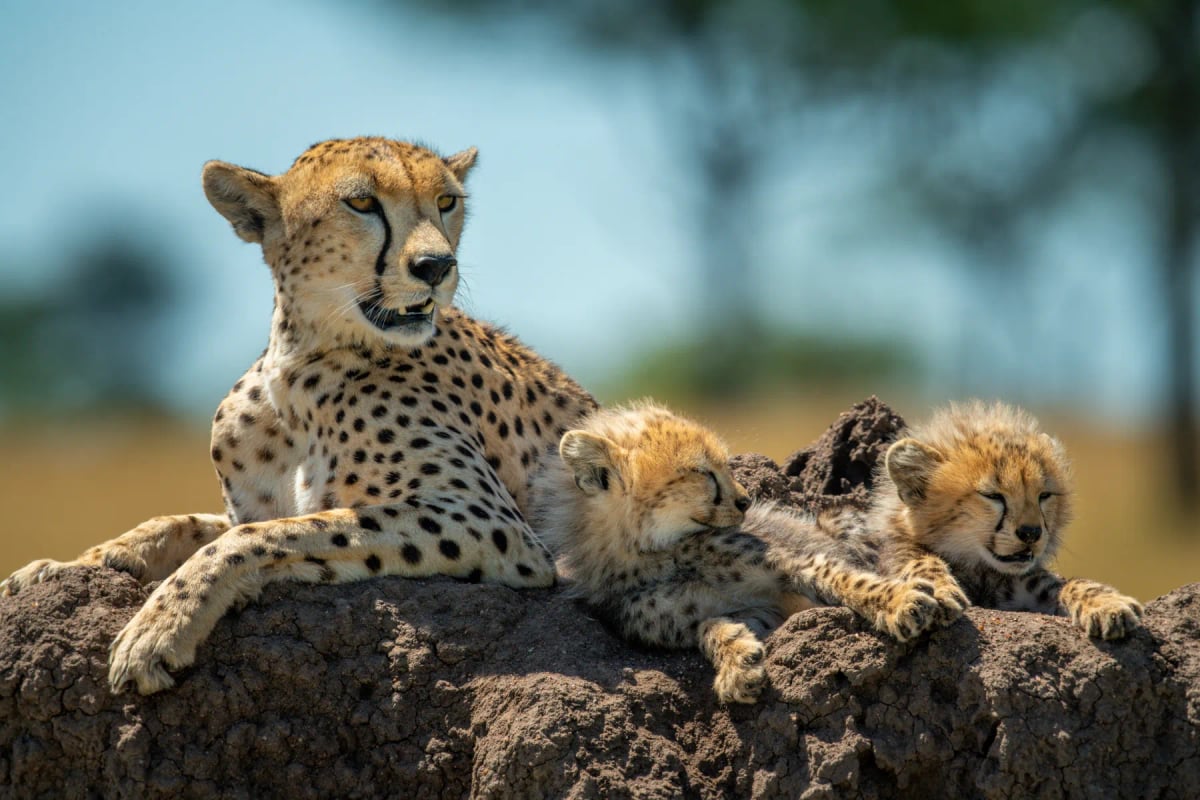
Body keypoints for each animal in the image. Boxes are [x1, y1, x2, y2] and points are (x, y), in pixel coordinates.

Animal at [0, 136, 598, 694]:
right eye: (362, 202)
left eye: (446, 201)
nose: (436, 266)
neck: (301, 363)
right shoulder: (251, 506)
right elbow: (181, 524)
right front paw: (61, 569)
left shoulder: (493, 524)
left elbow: (268, 536)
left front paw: (159, 628)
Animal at [528, 401, 956, 704]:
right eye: (703, 473)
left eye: (726, 465)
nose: (747, 501)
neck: (657, 553)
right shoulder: (752, 612)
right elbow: (711, 626)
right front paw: (738, 661)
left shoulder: (791, 564)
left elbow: (844, 579)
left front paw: (899, 601)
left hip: (841, 521)